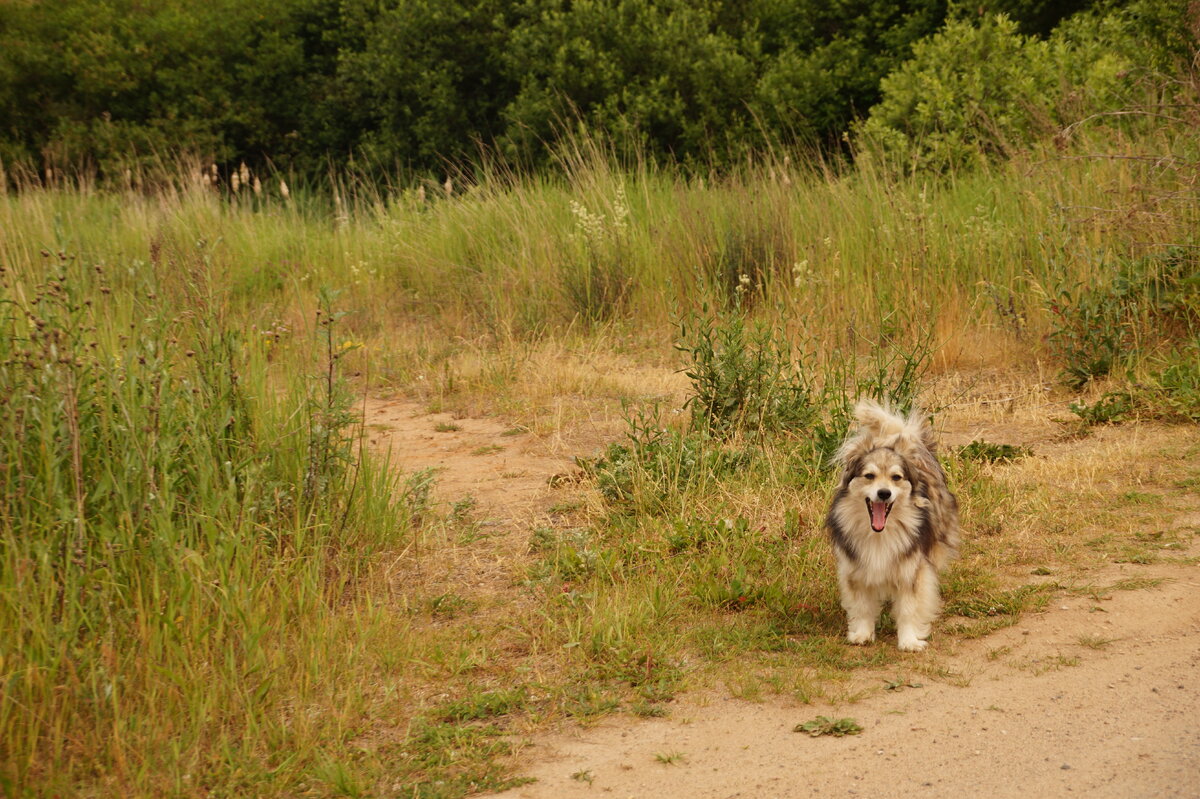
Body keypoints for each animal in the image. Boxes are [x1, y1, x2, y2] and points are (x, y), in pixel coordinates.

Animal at [830, 395, 960, 647]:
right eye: (869, 476)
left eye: (896, 477)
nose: (884, 493)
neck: (880, 534)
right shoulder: (856, 570)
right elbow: (862, 607)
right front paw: (863, 633)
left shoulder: (912, 570)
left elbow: (910, 608)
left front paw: (909, 640)